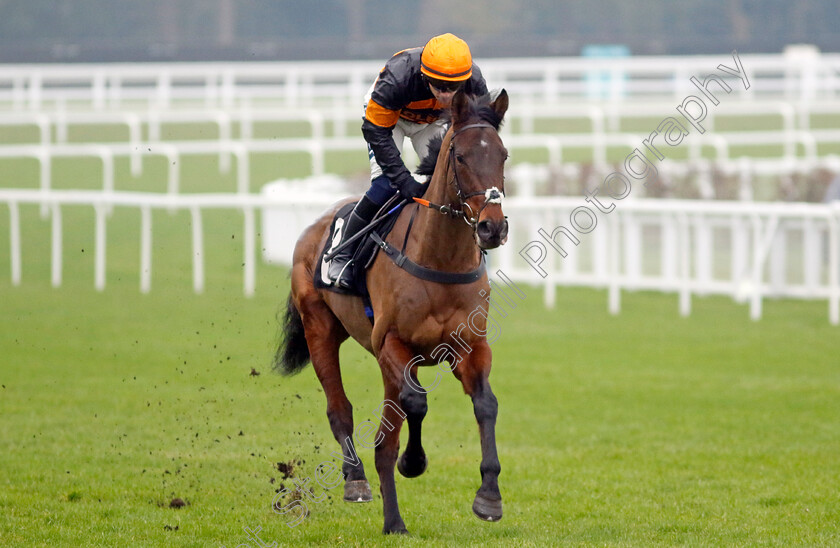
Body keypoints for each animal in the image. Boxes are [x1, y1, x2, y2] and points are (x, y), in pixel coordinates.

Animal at [278, 90, 512, 536]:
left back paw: (394, 522)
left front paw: (489, 495)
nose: (493, 228)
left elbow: (487, 403)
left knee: (385, 435)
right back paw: (357, 482)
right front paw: (414, 462)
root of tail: (313, 227)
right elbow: (417, 404)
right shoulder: (391, 343)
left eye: (503, 155)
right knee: (341, 411)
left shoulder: (470, 347)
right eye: (460, 157)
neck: (440, 258)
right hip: (321, 329)